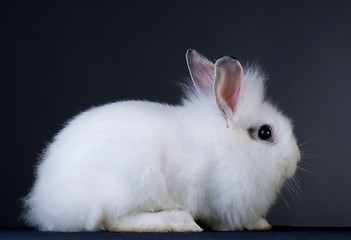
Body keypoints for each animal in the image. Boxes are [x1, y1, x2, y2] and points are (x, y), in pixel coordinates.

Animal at [23, 49, 302, 232]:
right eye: (265, 133)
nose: (296, 159)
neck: (226, 146)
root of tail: (47, 203)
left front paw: (261, 224)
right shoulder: (222, 196)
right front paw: (252, 224)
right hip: (134, 182)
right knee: (112, 221)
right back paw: (179, 222)